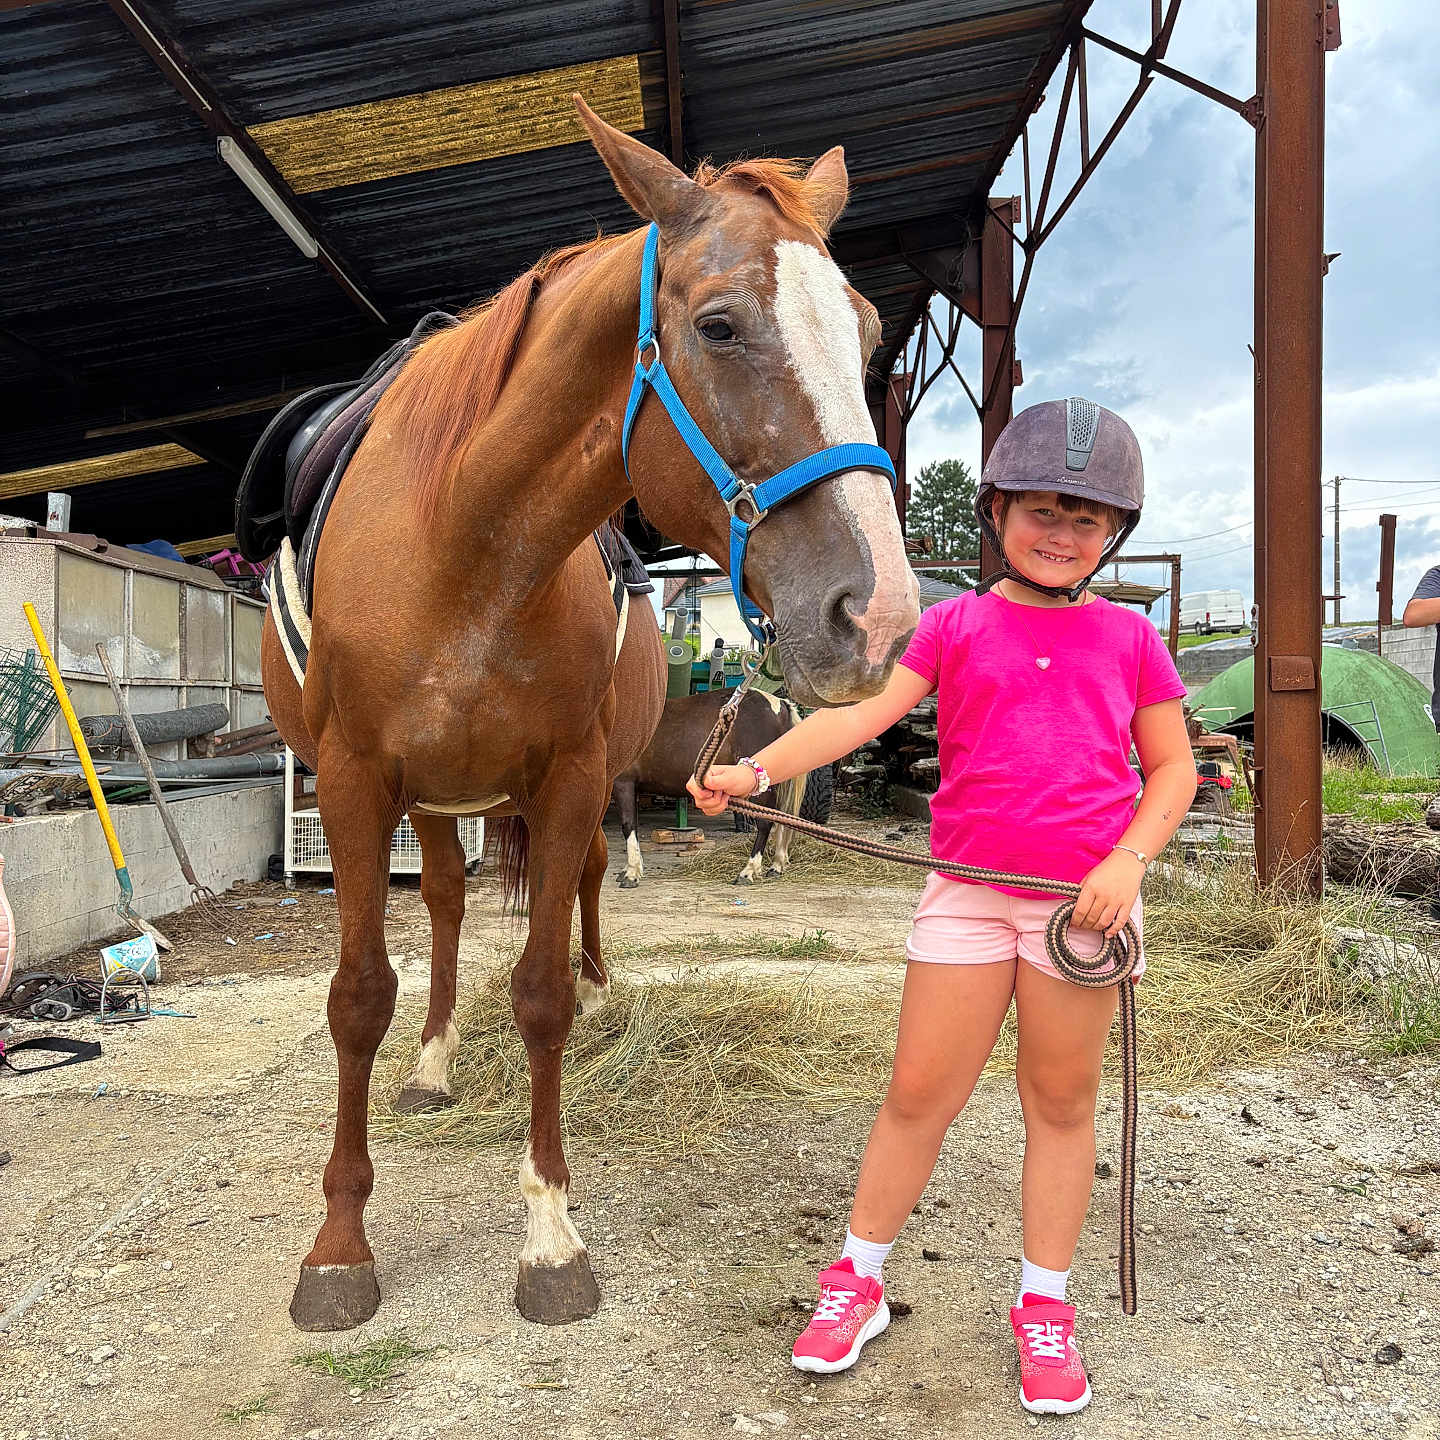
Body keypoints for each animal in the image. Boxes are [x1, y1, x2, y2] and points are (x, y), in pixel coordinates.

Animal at [611, 687, 808, 887]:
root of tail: (779, 704)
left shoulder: (623, 783)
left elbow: (628, 825)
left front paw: (632, 873)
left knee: (765, 824)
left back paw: (748, 871)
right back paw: (776, 866)